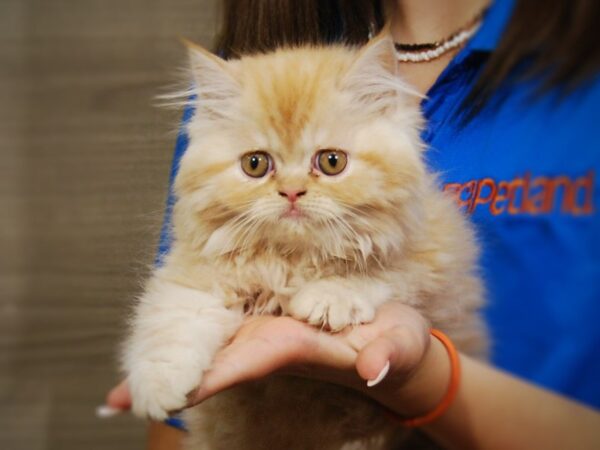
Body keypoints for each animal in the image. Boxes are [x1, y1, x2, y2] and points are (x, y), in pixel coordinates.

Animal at [123, 35, 488, 450]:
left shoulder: (437, 259)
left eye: (332, 162)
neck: (292, 260)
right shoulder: (194, 273)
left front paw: (330, 297)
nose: (292, 191)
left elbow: (380, 271)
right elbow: (172, 322)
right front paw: (157, 385)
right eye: (255, 164)